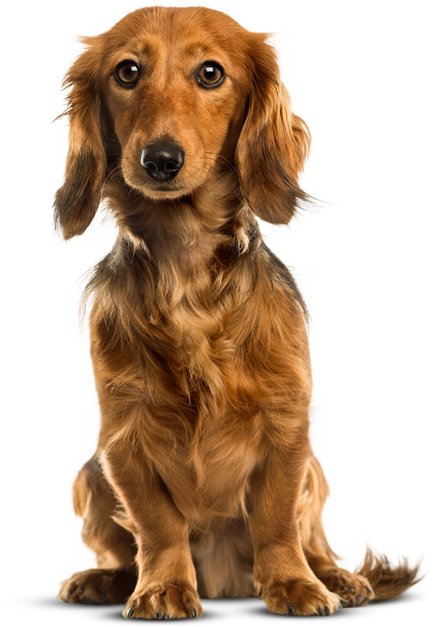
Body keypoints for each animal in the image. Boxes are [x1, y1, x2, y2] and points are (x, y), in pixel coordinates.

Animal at [51, 4, 425, 619]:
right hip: (87, 469)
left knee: (314, 538)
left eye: (210, 73)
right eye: (127, 71)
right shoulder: (122, 434)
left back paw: (337, 577)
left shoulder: (288, 423)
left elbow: (275, 518)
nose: (159, 160)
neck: (187, 275)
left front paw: (294, 584)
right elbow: (157, 525)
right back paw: (108, 580)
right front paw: (161, 587)